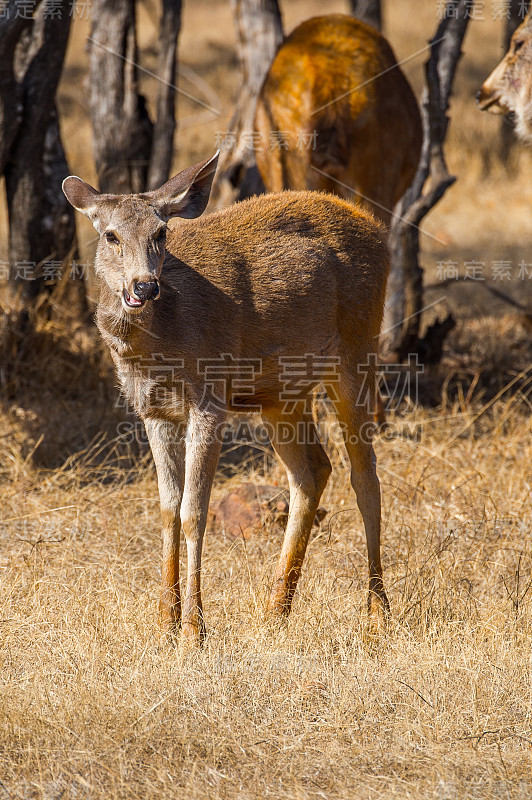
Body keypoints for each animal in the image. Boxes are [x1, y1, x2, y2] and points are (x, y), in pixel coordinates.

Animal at [62, 153, 390, 648]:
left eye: (161, 232)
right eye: (110, 235)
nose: (144, 286)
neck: (159, 343)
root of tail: (380, 232)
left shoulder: (209, 400)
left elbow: (194, 511)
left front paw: (194, 629)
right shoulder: (152, 412)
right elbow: (167, 509)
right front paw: (165, 622)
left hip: (358, 351)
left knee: (365, 474)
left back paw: (376, 613)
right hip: (280, 394)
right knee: (313, 470)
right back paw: (276, 610)